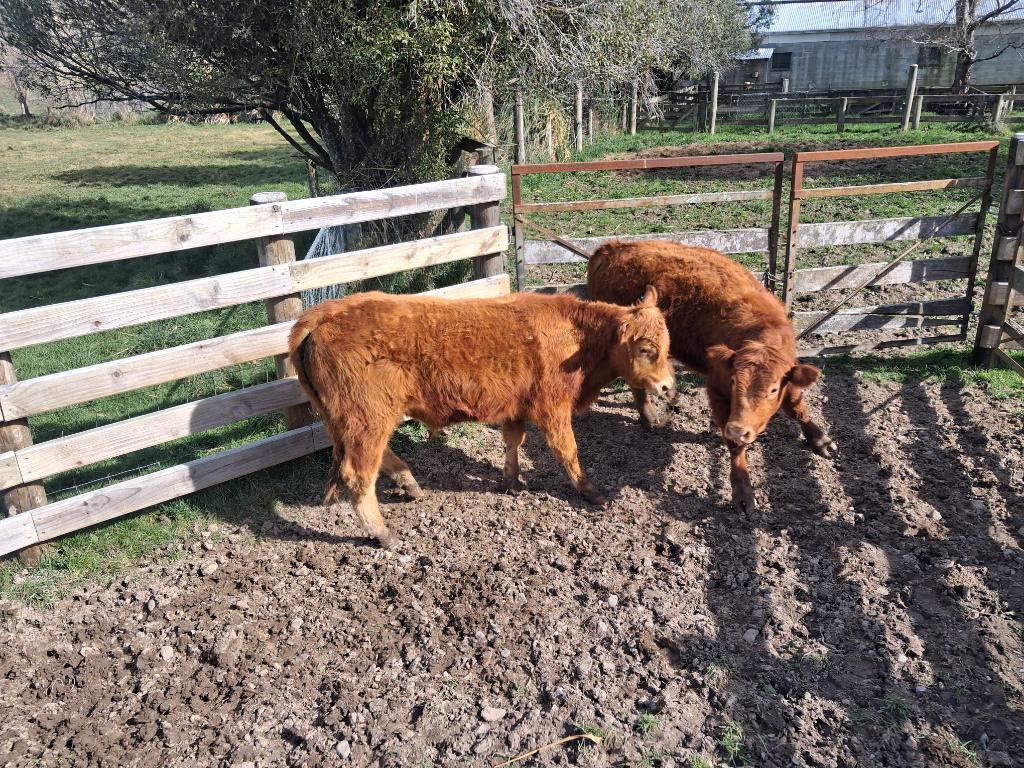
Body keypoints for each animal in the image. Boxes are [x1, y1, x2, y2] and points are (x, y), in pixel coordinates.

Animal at [288, 288, 674, 548]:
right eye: (646, 349)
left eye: (668, 345)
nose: (669, 386)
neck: (575, 337)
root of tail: (323, 314)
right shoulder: (553, 408)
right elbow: (568, 452)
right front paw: (591, 492)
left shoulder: (516, 407)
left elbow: (513, 442)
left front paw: (511, 481)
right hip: (367, 418)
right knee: (358, 474)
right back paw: (384, 533)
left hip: (352, 421)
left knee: (376, 459)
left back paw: (410, 485)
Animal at [587, 240, 836, 514]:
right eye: (734, 382)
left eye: (772, 389)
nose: (738, 430)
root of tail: (610, 248)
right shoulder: (717, 389)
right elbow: (736, 447)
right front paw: (742, 491)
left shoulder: (789, 377)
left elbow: (796, 407)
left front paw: (820, 440)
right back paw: (650, 416)